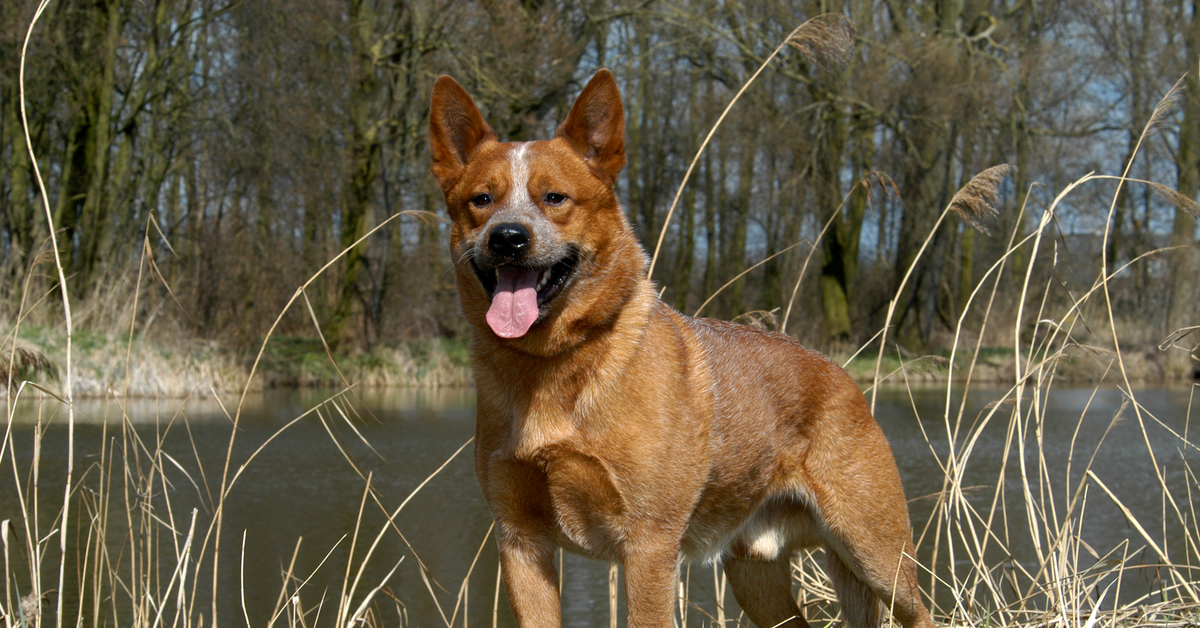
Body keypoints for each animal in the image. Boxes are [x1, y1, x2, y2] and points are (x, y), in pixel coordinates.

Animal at [432, 68, 936, 628]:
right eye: (481, 200)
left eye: (555, 198)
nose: (508, 237)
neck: (551, 368)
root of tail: (846, 378)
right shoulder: (521, 542)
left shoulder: (649, 546)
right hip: (756, 576)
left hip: (876, 553)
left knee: (922, 611)